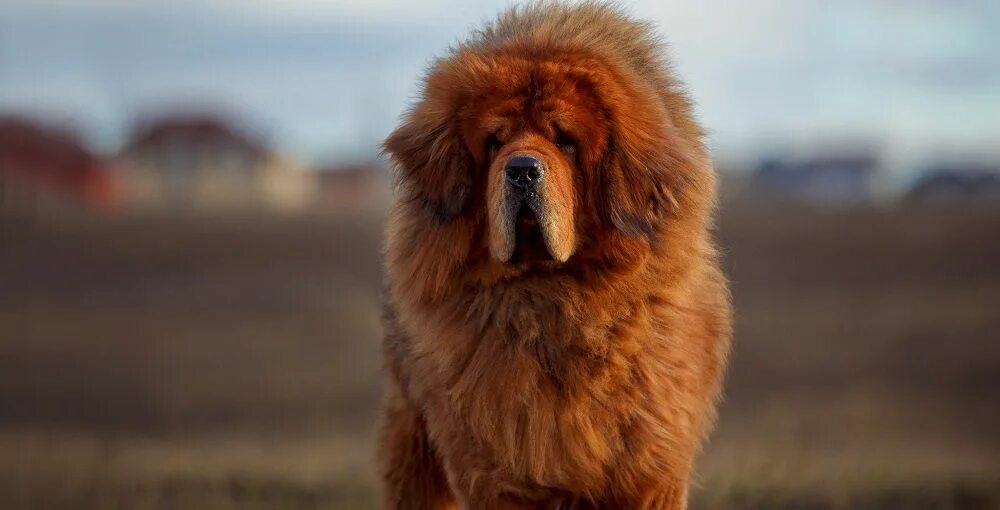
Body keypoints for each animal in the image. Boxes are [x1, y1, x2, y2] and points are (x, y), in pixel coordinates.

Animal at [378, 1, 732, 508]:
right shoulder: (498, 470)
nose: (523, 169)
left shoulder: (647, 467)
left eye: (565, 140)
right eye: (495, 141)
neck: (551, 303)